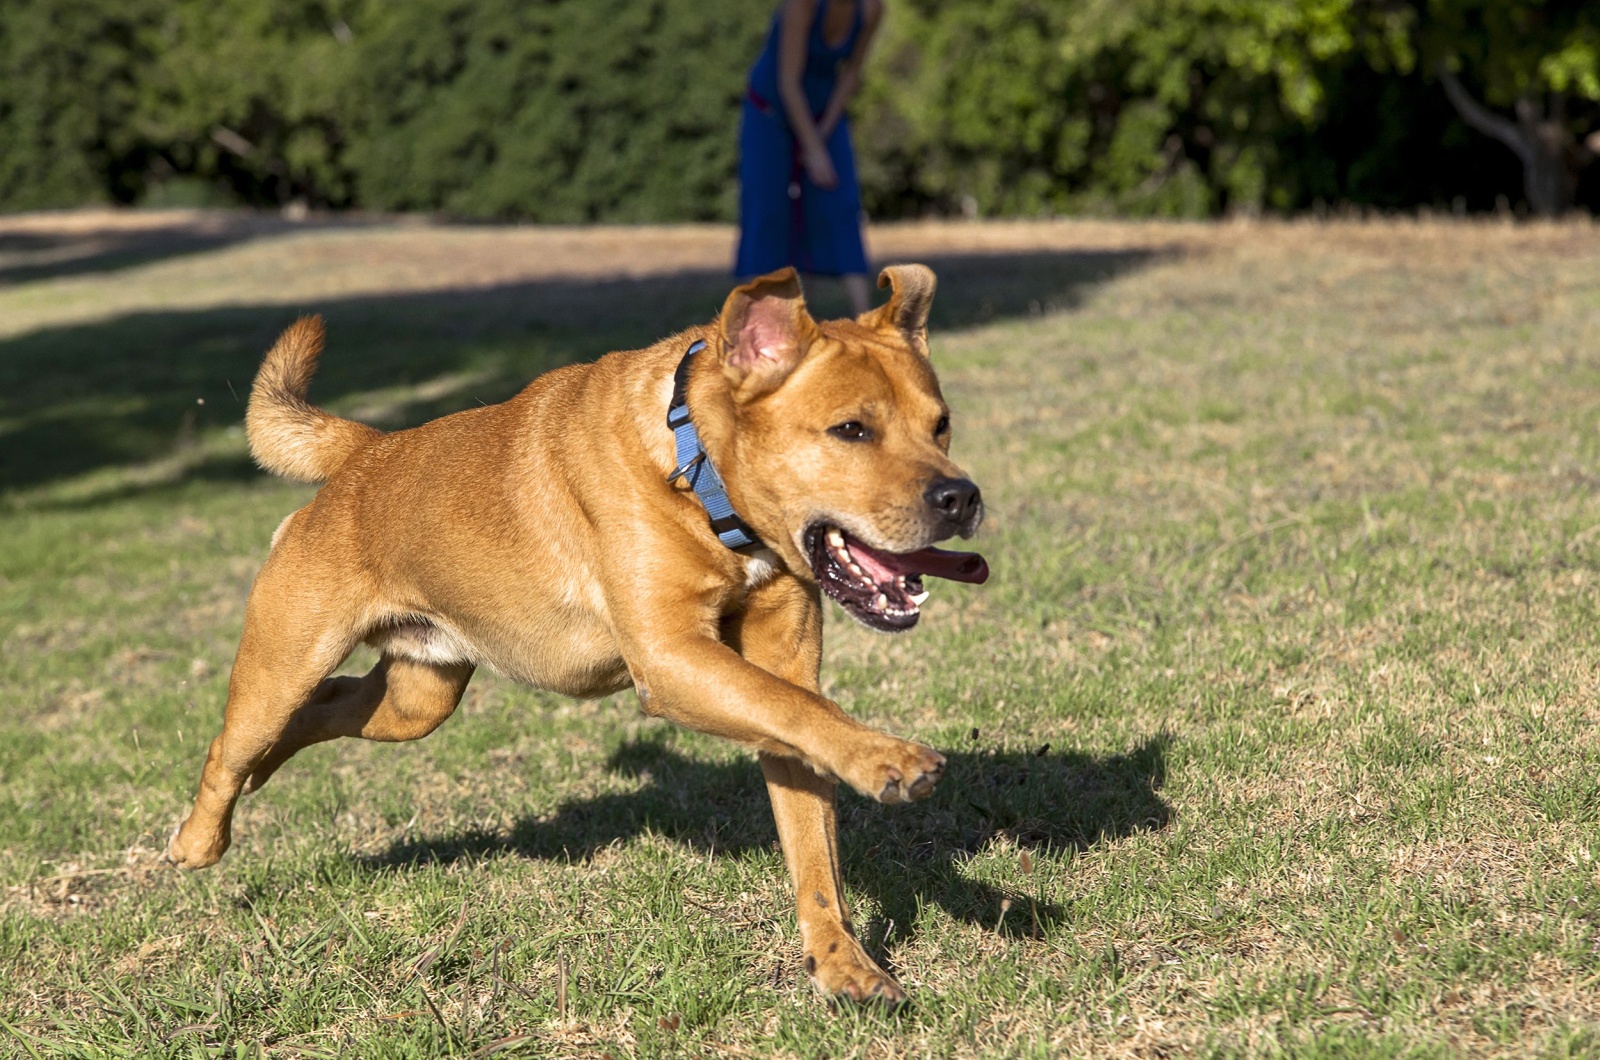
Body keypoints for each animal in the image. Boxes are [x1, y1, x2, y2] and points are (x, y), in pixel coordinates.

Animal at [168, 265, 979, 1005]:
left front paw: (843, 967)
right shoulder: (671, 659)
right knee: (229, 745)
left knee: (324, 708)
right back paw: (195, 842)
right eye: (851, 429)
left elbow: (812, 824)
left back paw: (268, 770)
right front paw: (889, 758)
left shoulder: (779, 667)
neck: (696, 470)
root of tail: (365, 452)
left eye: (940, 424)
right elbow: (805, 712)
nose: (961, 497)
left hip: (416, 698)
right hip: (282, 664)